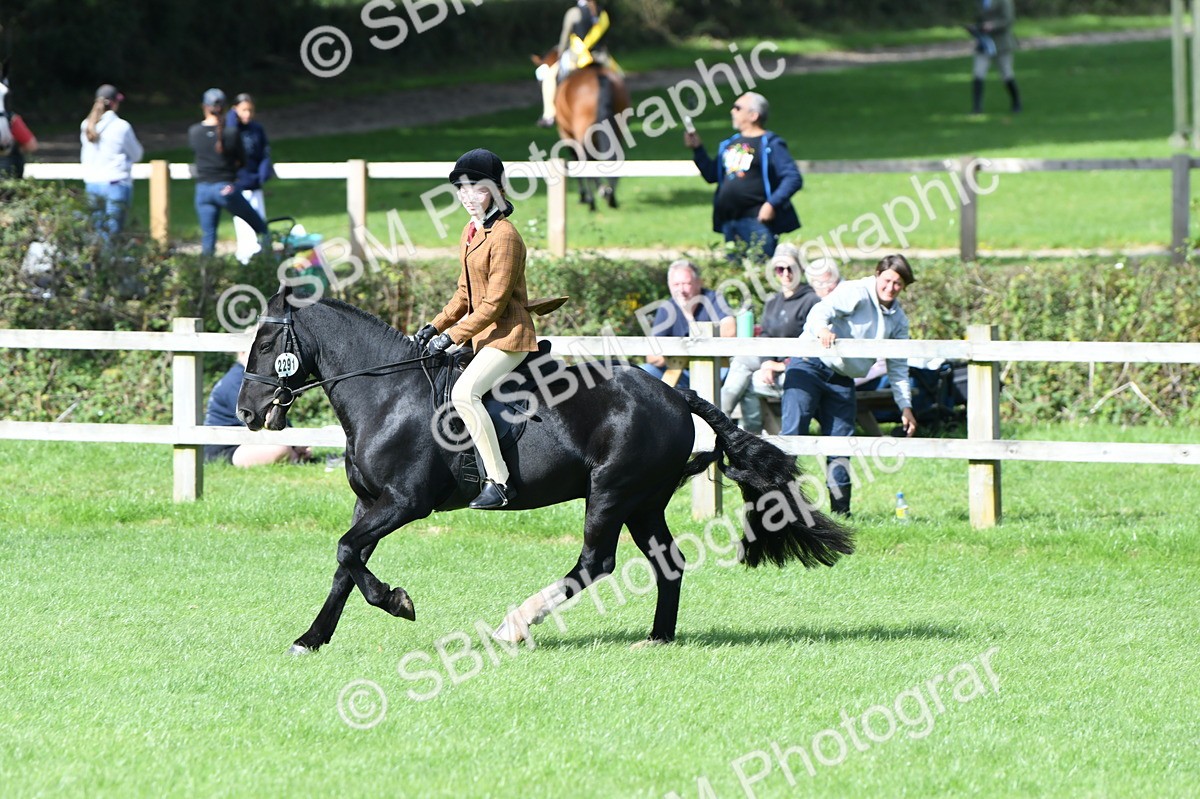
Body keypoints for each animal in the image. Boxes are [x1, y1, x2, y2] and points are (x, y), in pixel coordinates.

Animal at [236, 288, 853, 654]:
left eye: (266, 343)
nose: (245, 412)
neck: (386, 394)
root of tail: (671, 394)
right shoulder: (369, 504)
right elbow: (346, 563)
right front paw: (312, 638)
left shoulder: (403, 504)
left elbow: (346, 551)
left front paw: (397, 601)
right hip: (643, 502)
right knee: (668, 564)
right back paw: (657, 639)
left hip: (610, 493)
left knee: (595, 564)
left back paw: (515, 625)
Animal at [532, 48, 630, 211]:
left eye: (541, 82)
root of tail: (599, 77)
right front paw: (603, 191)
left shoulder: (566, 133)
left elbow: (576, 157)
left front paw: (584, 196)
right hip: (618, 128)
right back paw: (611, 197)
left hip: (581, 130)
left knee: (586, 158)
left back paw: (592, 201)